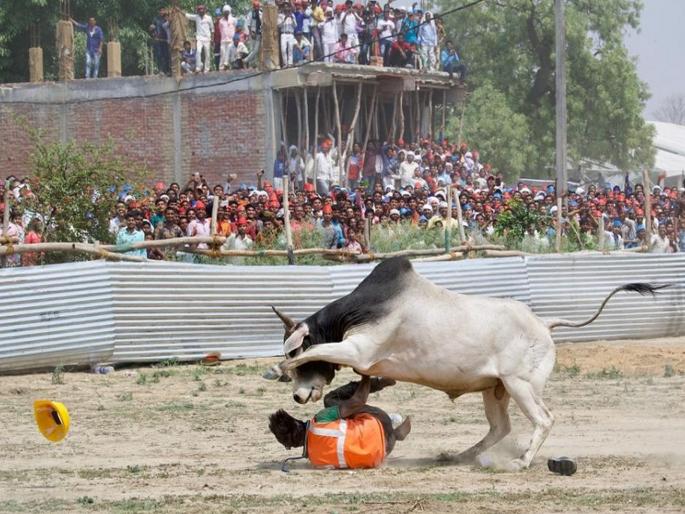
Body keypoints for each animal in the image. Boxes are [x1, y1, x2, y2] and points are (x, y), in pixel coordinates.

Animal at [269, 257, 665, 470]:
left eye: (291, 351)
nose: (298, 398)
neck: (364, 307)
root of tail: (543, 323)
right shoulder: (367, 364)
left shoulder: (359, 349)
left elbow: (318, 352)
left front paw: (276, 369)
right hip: (496, 390)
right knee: (500, 427)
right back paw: (460, 455)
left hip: (521, 385)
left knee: (544, 419)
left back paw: (521, 461)